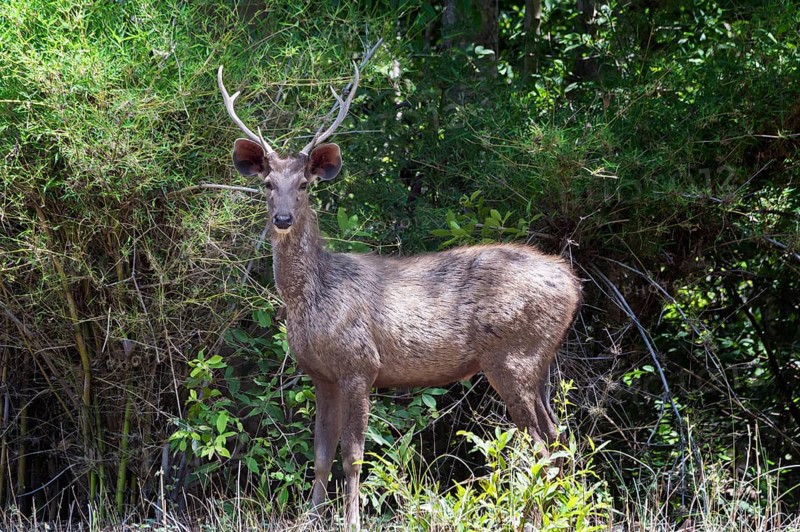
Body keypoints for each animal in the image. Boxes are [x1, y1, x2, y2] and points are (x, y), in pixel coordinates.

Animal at [217, 63, 582, 530]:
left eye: (304, 185)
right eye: (266, 183)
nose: (282, 219)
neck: (313, 300)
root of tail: (572, 284)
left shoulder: (360, 364)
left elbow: (353, 455)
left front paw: (351, 521)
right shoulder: (321, 375)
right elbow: (320, 454)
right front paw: (310, 518)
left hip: (513, 356)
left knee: (538, 444)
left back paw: (536, 518)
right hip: (538, 362)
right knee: (558, 437)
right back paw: (563, 511)